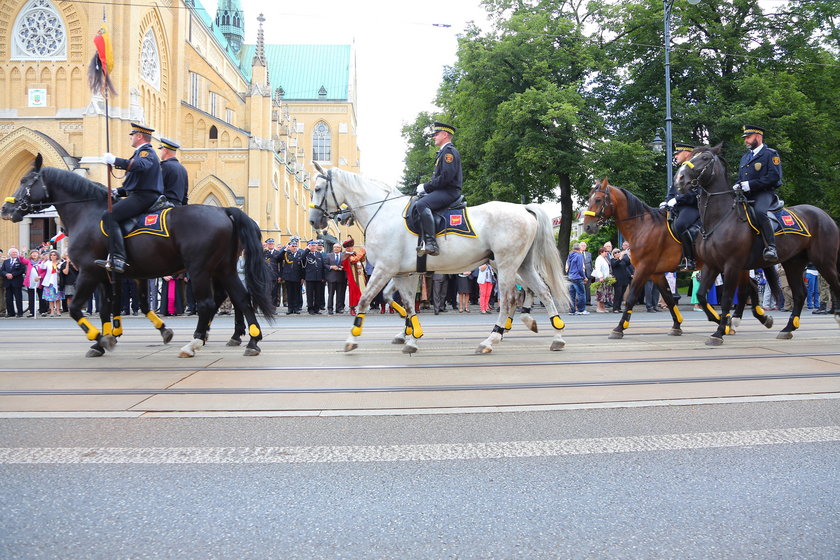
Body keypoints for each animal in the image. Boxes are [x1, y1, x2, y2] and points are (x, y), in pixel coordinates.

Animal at [1, 153, 274, 354]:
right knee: (241, 298)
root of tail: (223, 210)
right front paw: (114, 335)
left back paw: (196, 341)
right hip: (223, 268)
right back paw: (251, 340)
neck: (87, 212)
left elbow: (77, 308)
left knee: (209, 303)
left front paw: (100, 338)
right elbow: (116, 307)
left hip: (200, 269)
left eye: (25, 181)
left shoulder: (88, 272)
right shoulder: (113, 274)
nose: (6, 208)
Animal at [308, 163, 572, 354]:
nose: (314, 221)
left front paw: (352, 338)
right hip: (521, 264)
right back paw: (556, 335)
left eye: (318, 189)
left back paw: (492, 338)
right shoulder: (404, 272)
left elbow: (365, 300)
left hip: (507, 265)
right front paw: (411, 337)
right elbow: (405, 304)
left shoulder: (385, 269)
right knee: (543, 291)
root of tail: (523, 208)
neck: (383, 212)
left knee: (510, 299)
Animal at [584, 178, 776, 336]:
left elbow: (631, 297)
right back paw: (752, 318)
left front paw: (619, 328)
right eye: (589, 199)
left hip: (733, 265)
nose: (587, 227)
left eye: (598, 200)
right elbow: (669, 298)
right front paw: (677, 325)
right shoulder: (656, 273)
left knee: (748, 287)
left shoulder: (645, 269)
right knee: (750, 287)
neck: (643, 226)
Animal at [676, 143, 840, 346]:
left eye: (705, 158)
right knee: (800, 294)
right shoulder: (711, 265)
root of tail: (825, 216)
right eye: (691, 155)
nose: (680, 178)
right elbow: (701, 295)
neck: (719, 219)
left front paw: (719, 332)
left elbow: (727, 298)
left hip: (824, 261)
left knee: (834, 284)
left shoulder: (732, 265)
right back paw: (788, 328)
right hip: (793, 263)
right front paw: (721, 321)